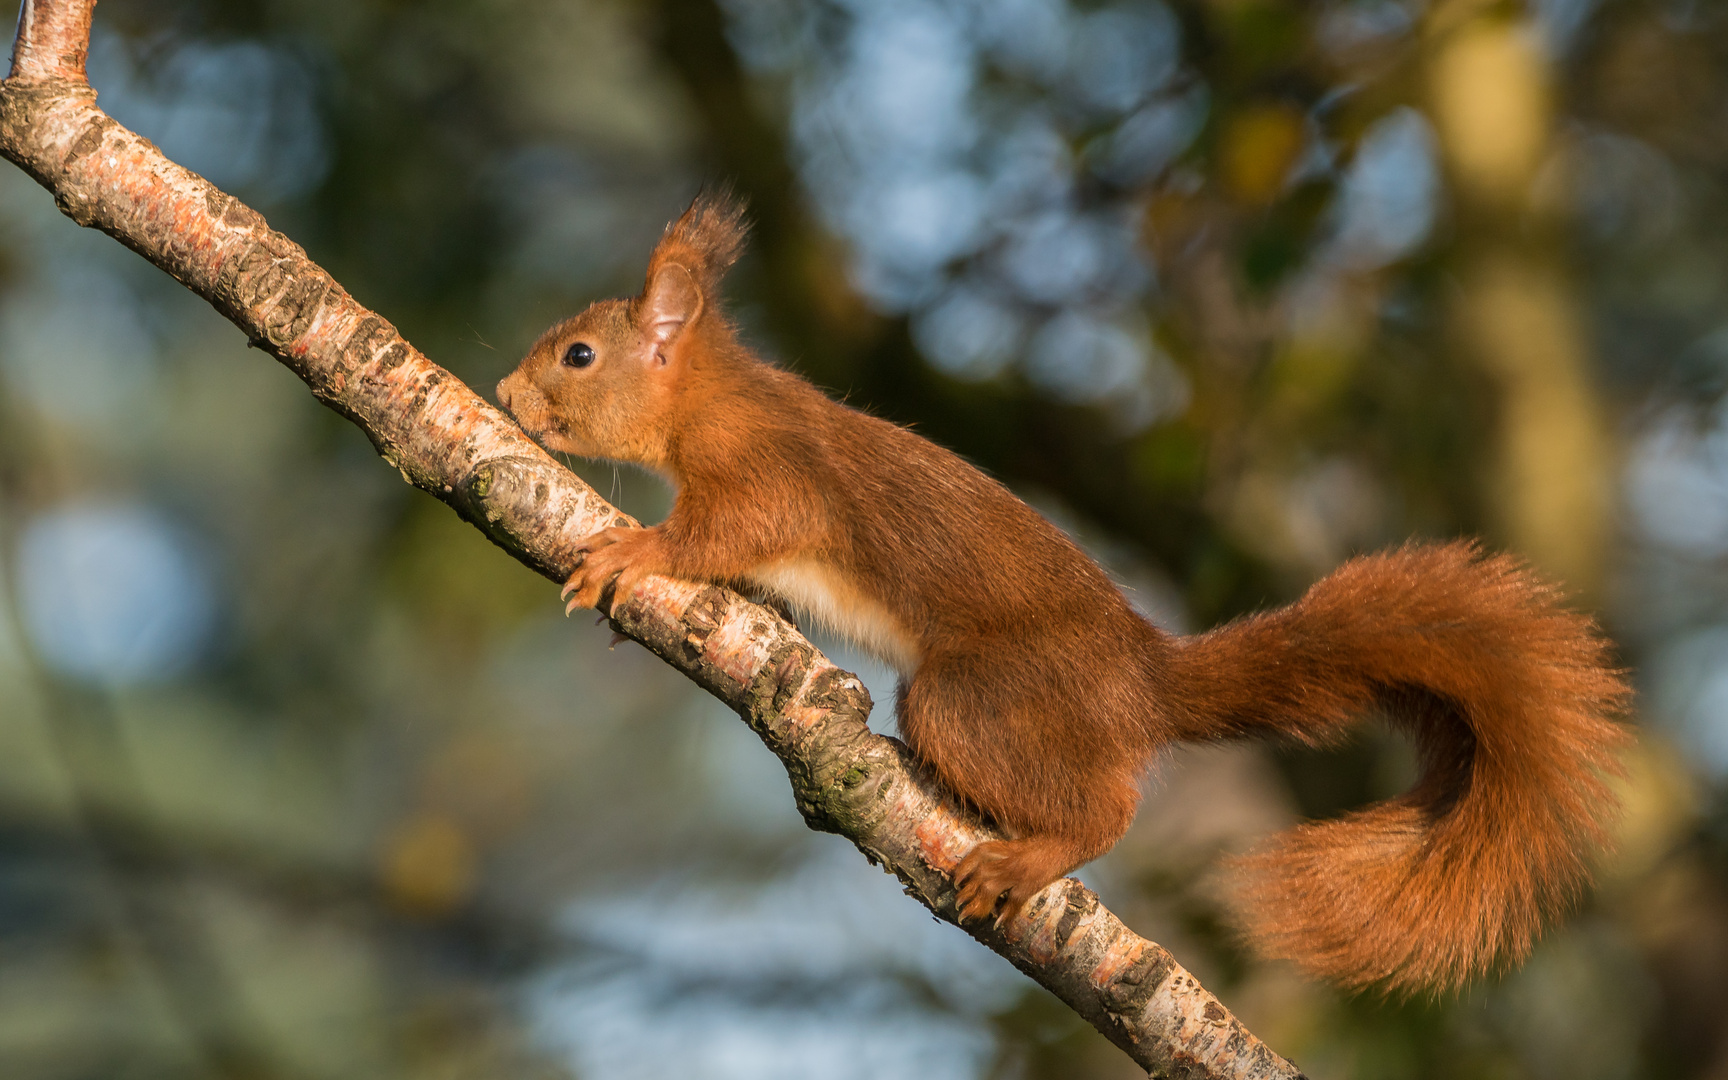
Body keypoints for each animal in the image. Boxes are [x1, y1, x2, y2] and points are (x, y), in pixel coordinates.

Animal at [497, 196, 1631, 995]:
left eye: (579, 356)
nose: (505, 396)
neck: (706, 395)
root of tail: (1145, 679)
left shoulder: (771, 469)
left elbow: (727, 528)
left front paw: (635, 550)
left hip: (984, 697)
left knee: (1104, 806)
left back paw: (1031, 854)